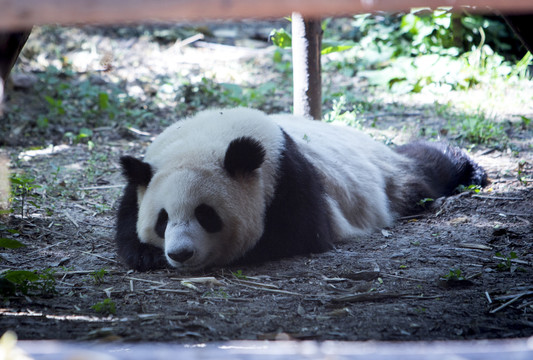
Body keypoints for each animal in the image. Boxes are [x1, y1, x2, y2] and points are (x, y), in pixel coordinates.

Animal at [116, 108, 486, 272]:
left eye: (206, 215)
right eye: (163, 219)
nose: (180, 253)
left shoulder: (286, 174)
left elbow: (301, 232)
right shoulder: (143, 176)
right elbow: (127, 222)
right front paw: (147, 254)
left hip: (389, 177)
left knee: (424, 170)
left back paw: (470, 168)